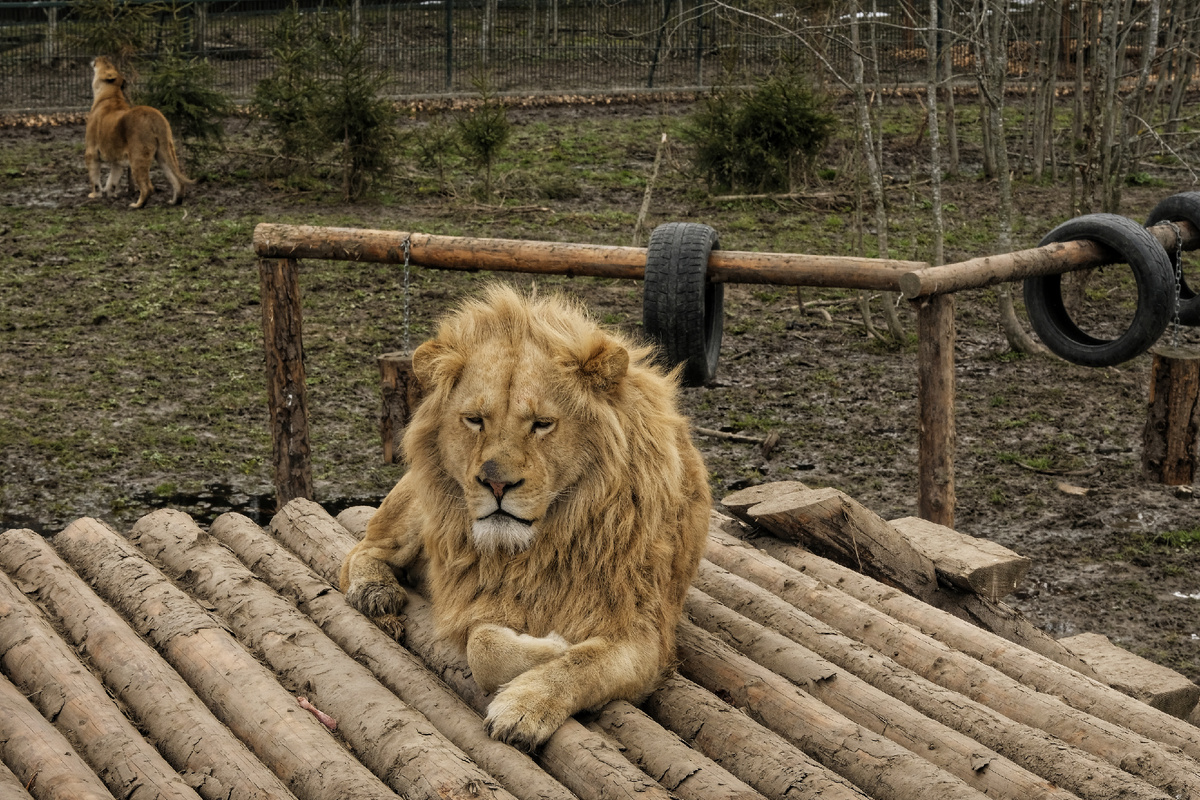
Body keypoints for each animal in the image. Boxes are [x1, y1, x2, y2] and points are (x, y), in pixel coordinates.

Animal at [85, 56, 194, 209]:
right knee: (178, 181)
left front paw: (95, 195)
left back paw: (136, 205)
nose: (102, 56)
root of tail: (153, 115)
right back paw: (174, 202)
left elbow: (94, 177)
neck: (111, 94)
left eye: (106, 63)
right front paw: (110, 194)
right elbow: (113, 178)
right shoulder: (116, 157)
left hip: (138, 156)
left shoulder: (91, 151)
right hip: (164, 152)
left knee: (148, 187)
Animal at [340, 284, 711, 751]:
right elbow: (483, 643)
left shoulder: (645, 635)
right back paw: (375, 591)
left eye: (542, 424)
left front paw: (525, 706)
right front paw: (552, 646)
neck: (546, 541)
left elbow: (581, 664)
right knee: (361, 549)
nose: (496, 484)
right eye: (474, 420)